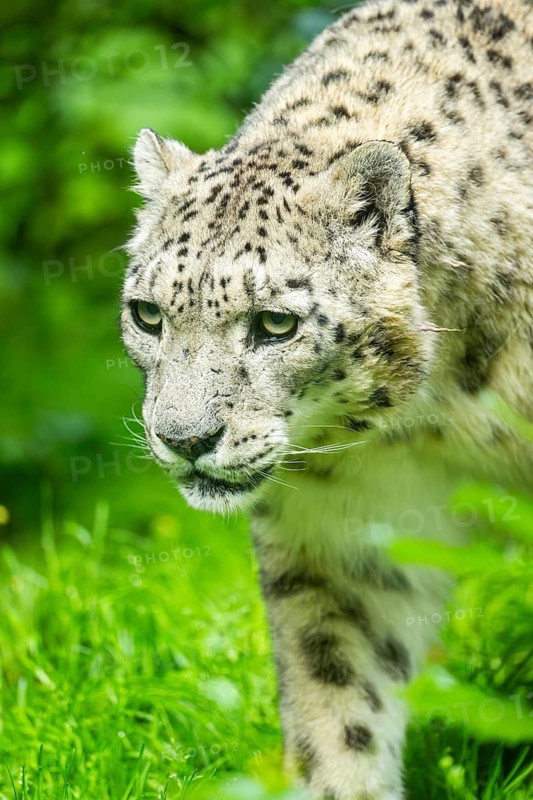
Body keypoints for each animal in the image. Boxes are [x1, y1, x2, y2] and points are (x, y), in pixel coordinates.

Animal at [120, 0, 533, 797]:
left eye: (275, 324)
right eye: (147, 314)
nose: (184, 439)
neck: (443, 408)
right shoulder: (345, 526)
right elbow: (340, 696)